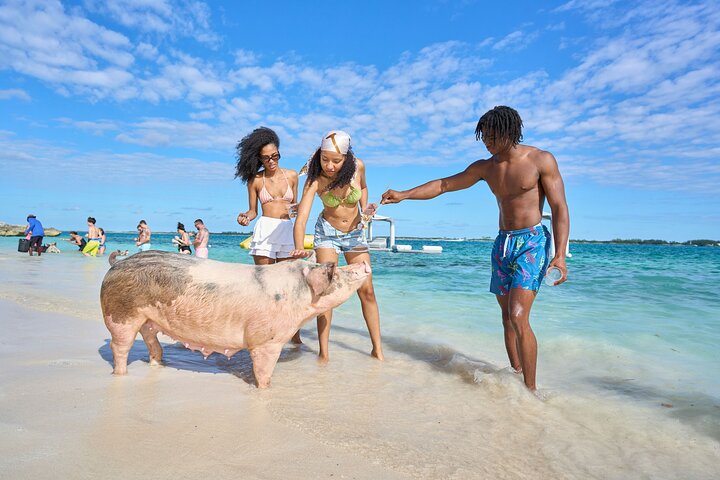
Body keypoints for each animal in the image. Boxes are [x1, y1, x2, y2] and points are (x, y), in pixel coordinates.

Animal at [100, 250, 370, 388]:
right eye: (335, 274)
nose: (365, 264)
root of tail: (117, 264)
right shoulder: (266, 341)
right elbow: (263, 371)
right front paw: (265, 389)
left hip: (148, 320)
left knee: (151, 341)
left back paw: (157, 364)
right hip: (120, 315)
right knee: (119, 347)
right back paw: (120, 374)